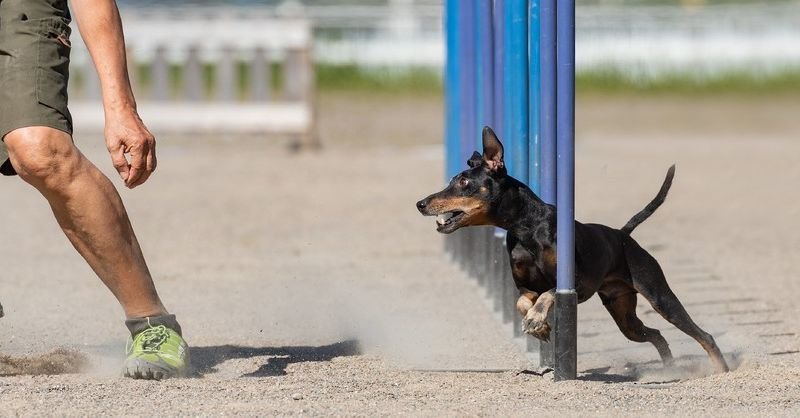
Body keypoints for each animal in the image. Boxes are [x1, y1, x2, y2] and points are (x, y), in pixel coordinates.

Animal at [418, 126, 732, 372]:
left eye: (463, 182)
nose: (421, 203)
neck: (526, 229)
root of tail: (622, 235)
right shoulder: (524, 286)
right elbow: (522, 302)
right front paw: (541, 326)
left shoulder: (578, 283)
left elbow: (550, 292)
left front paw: (537, 319)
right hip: (624, 316)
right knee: (655, 334)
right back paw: (669, 368)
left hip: (659, 296)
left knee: (702, 335)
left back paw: (720, 370)